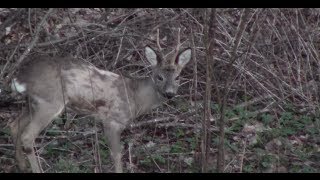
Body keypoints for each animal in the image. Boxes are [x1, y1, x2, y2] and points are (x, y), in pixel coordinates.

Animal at [9, 42, 190, 173]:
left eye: (178, 77)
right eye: (159, 77)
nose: (169, 93)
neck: (135, 97)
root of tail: (21, 78)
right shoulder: (112, 120)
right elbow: (117, 154)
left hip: (32, 103)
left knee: (14, 125)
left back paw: (22, 166)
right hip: (49, 103)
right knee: (27, 135)